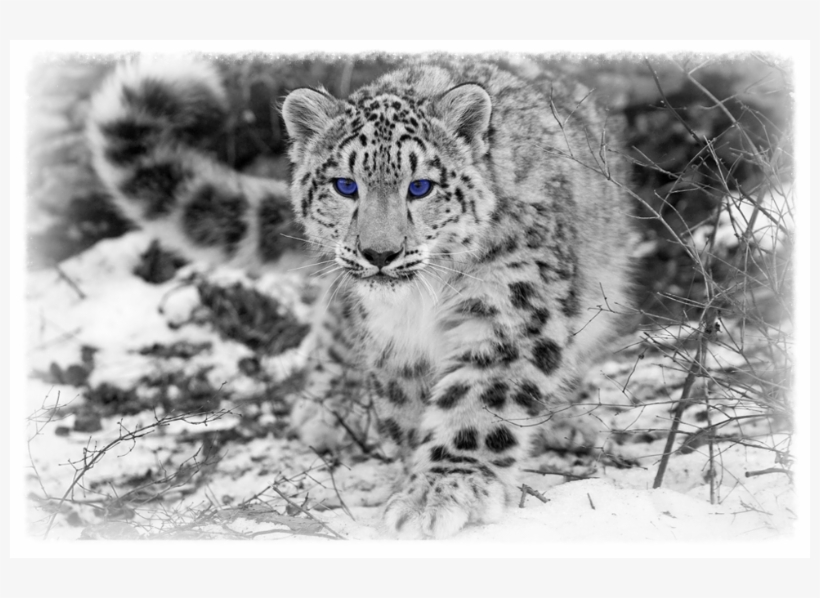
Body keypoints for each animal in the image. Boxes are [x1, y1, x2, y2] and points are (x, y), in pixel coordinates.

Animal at [86, 54, 633, 539]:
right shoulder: (393, 341)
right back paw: (327, 410)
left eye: (421, 187)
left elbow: (478, 402)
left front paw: (441, 492)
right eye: (345, 185)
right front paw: (415, 479)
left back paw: (570, 422)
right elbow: (408, 411)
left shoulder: (508, 309)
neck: (421, 302)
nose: (379, 253)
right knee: (333, 325)